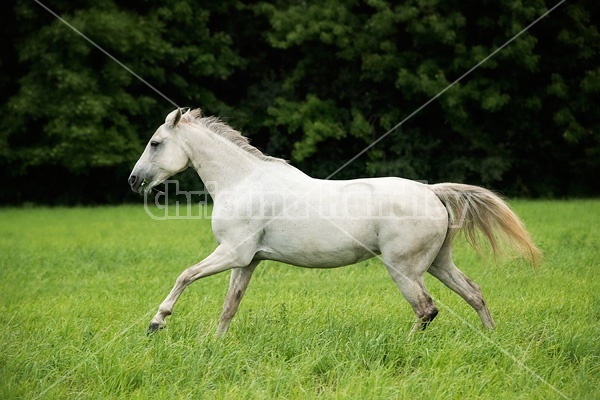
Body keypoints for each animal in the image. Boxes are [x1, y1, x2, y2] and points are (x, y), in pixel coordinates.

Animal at [129, 108, 540, 336]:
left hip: (405, 269)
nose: (133, 180)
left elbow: (184, 275)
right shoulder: (247, 261)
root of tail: (433, 192)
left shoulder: (232, 253)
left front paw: (156, 323)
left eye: (154, 143)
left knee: (427, 309)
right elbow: (230, 305)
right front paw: (214, 344)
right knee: (474, 293)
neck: (241, 181)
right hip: (439, 263)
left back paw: (407, 348)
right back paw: (491, 340)